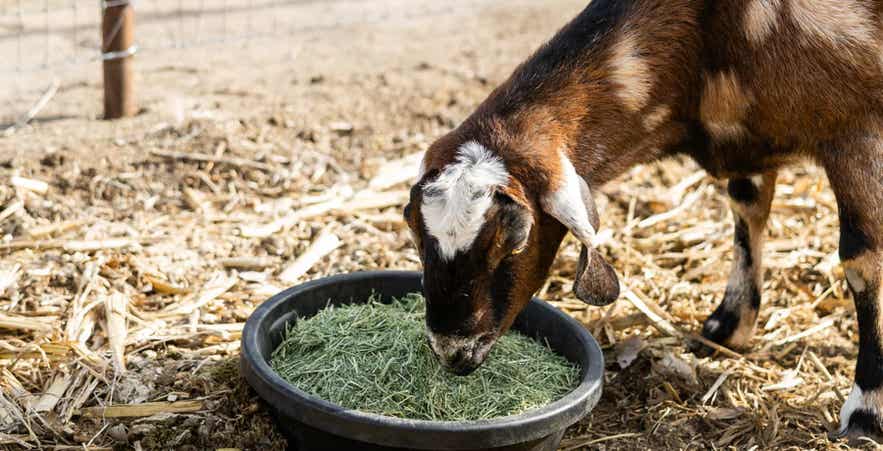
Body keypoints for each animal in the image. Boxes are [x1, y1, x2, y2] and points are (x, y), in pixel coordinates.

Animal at [404, 0, 883, 441]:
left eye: (516, 239)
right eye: (416, 232)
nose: (450, 352)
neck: (707, 36)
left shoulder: (859, 129)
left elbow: (863, 262)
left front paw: (866, 412)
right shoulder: (750, 144)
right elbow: (747, 208)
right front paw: (729, 325)